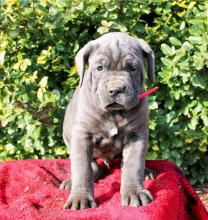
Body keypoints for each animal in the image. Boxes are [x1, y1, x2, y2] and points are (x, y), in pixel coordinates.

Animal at [60, 32, 154, 210]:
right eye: (99, 68)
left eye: (132, 68)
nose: (116, 90)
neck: (114, 113)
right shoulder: (82, 136)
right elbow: (82, 168)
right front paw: (80, 198)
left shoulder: (137, 135)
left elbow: (134, 164)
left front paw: (135, 192)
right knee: (93, 168)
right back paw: (71, 182)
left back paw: (146, 172)